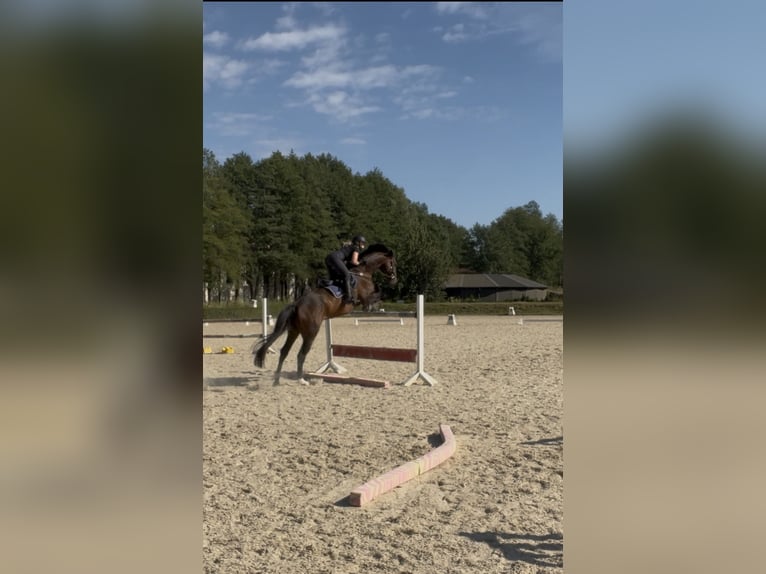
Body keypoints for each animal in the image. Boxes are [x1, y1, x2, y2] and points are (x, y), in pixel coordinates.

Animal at [253, 244, 397, 385]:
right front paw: (372, 306)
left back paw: (277, 380)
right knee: (301, 354)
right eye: (392, 263)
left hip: (294, 331)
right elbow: (379, 292)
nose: (394, 280)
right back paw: (301, 379)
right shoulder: (366, 297)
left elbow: (379, 291)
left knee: (284, 351)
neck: (363, 273)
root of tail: (297, 304)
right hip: (311, 333)